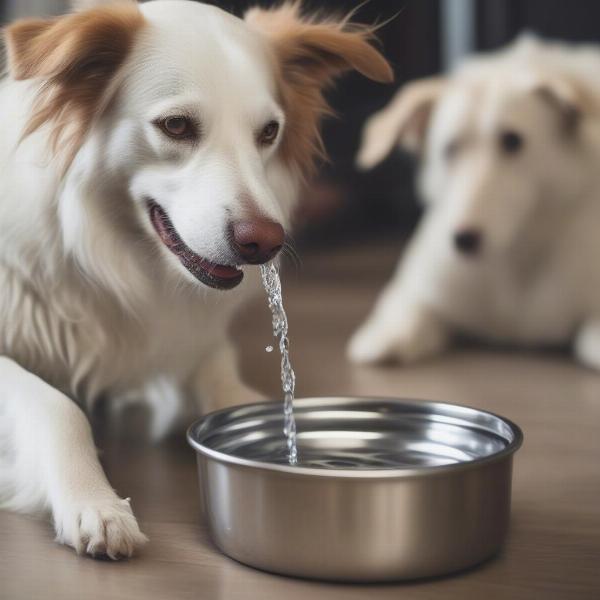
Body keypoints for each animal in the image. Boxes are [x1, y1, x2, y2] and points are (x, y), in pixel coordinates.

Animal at [0, 1, 392, 556]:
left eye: (268, 132)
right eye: (177, 125)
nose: (264, 242)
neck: (107, 257)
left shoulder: (193, 341)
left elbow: (233, 391)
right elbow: (57, 408)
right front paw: (92, 502)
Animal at [346, 36, 600, 370]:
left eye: (513, 141)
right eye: (449, 148)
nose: (464, 240)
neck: (513, 260)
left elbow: (589, 336)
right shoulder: (417, 287)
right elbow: (408, 310)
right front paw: (385, 336)